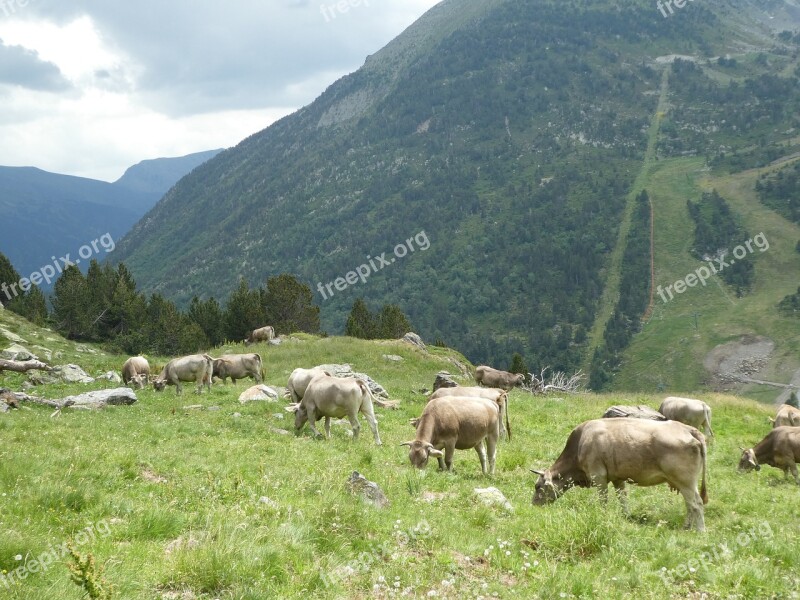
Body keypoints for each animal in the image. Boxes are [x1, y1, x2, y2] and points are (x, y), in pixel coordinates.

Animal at [532, 418, 708, 528]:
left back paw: (700, 531)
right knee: (690, 505)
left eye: (538, 486)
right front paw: (627, 517)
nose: (533, 505)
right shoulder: (618, 478)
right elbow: (622, 498)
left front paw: (602, 516)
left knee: (696, 504)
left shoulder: (598, 477)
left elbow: (603, 500)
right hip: (685, 483)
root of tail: (688, 429)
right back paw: (686, 526)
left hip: (685, 481)